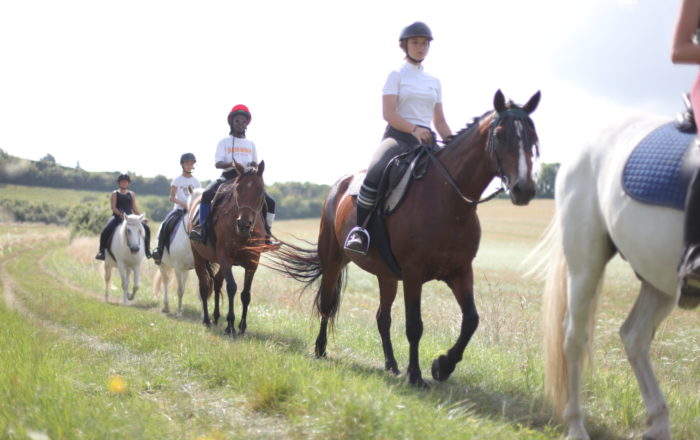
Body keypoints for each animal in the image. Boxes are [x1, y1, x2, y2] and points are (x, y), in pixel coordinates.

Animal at [187, 160, 266, 336]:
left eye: (260, 191)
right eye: (238, 189)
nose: (243, 224)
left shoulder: (252, 263)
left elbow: (246, 294)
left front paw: (242, 326)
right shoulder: (225, 258)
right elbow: (232, 287)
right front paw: (230, 325)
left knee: (216, 282)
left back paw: (216, 317)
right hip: (198, 257)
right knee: (204, 287)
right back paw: (207, 320)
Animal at [268, 89, 540, 384]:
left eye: (533, 136)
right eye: (500, 134)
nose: (524, 189)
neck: (449, 201)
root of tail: (339, 185)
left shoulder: (460, 271)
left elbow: (471, 320)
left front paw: (443, 365)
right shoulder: (413, 273)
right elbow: (414, 325)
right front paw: (417, 375)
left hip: (385, 275)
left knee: (382, 317)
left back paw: (391, 364)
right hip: (333, 259)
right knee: (328, 304)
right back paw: (320, 349)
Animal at [536, 113, 700, 440]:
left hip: (659, 280)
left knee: (634, 336)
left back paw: (658, 423)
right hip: (585, 266)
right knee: (574, 337)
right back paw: (576, 425)